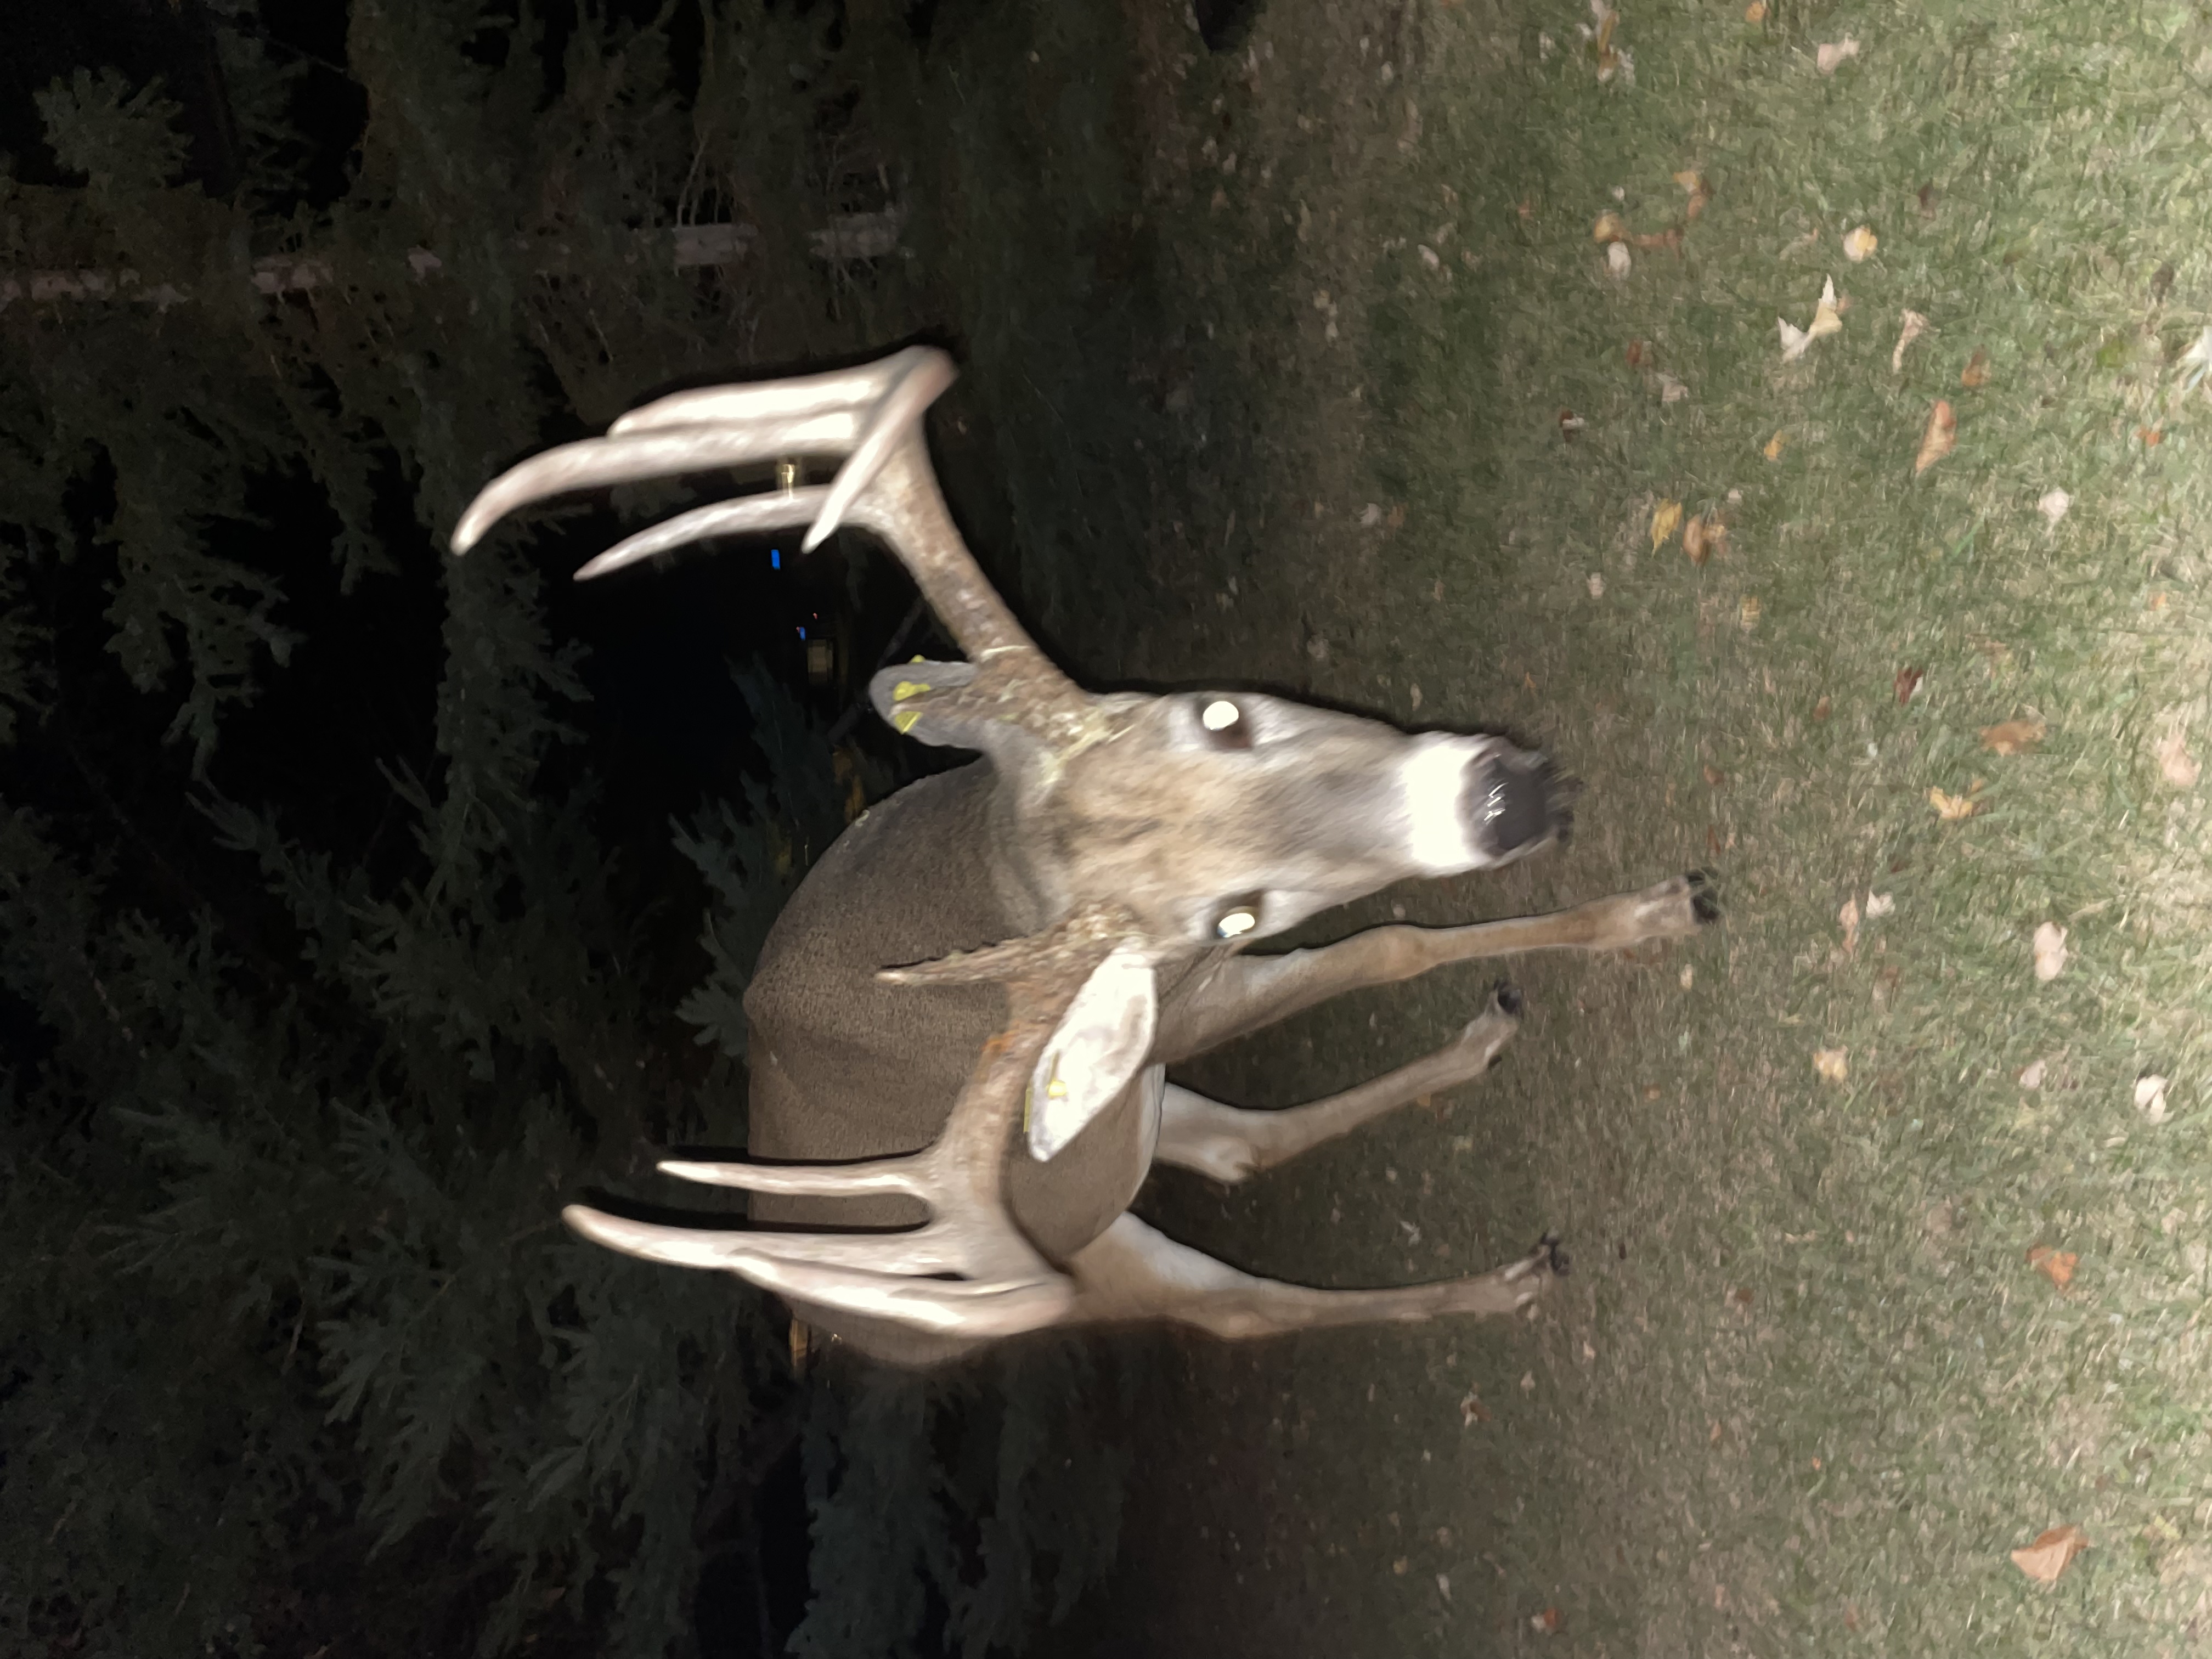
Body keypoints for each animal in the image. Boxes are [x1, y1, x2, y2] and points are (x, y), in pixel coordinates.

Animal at [451, 346, 1717, 1367]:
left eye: (1220, 712)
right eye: (1231, 913)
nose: (1501, 800)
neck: (1000, 864)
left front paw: (1635, 912)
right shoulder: (1191, 998)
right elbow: (1389, 945)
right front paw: (1657, 908)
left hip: (1131, 1115)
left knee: (1239, 1148)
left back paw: (1484, 1048)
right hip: (1076, 1253)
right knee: (1242, 1304)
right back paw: (1508, 1277)